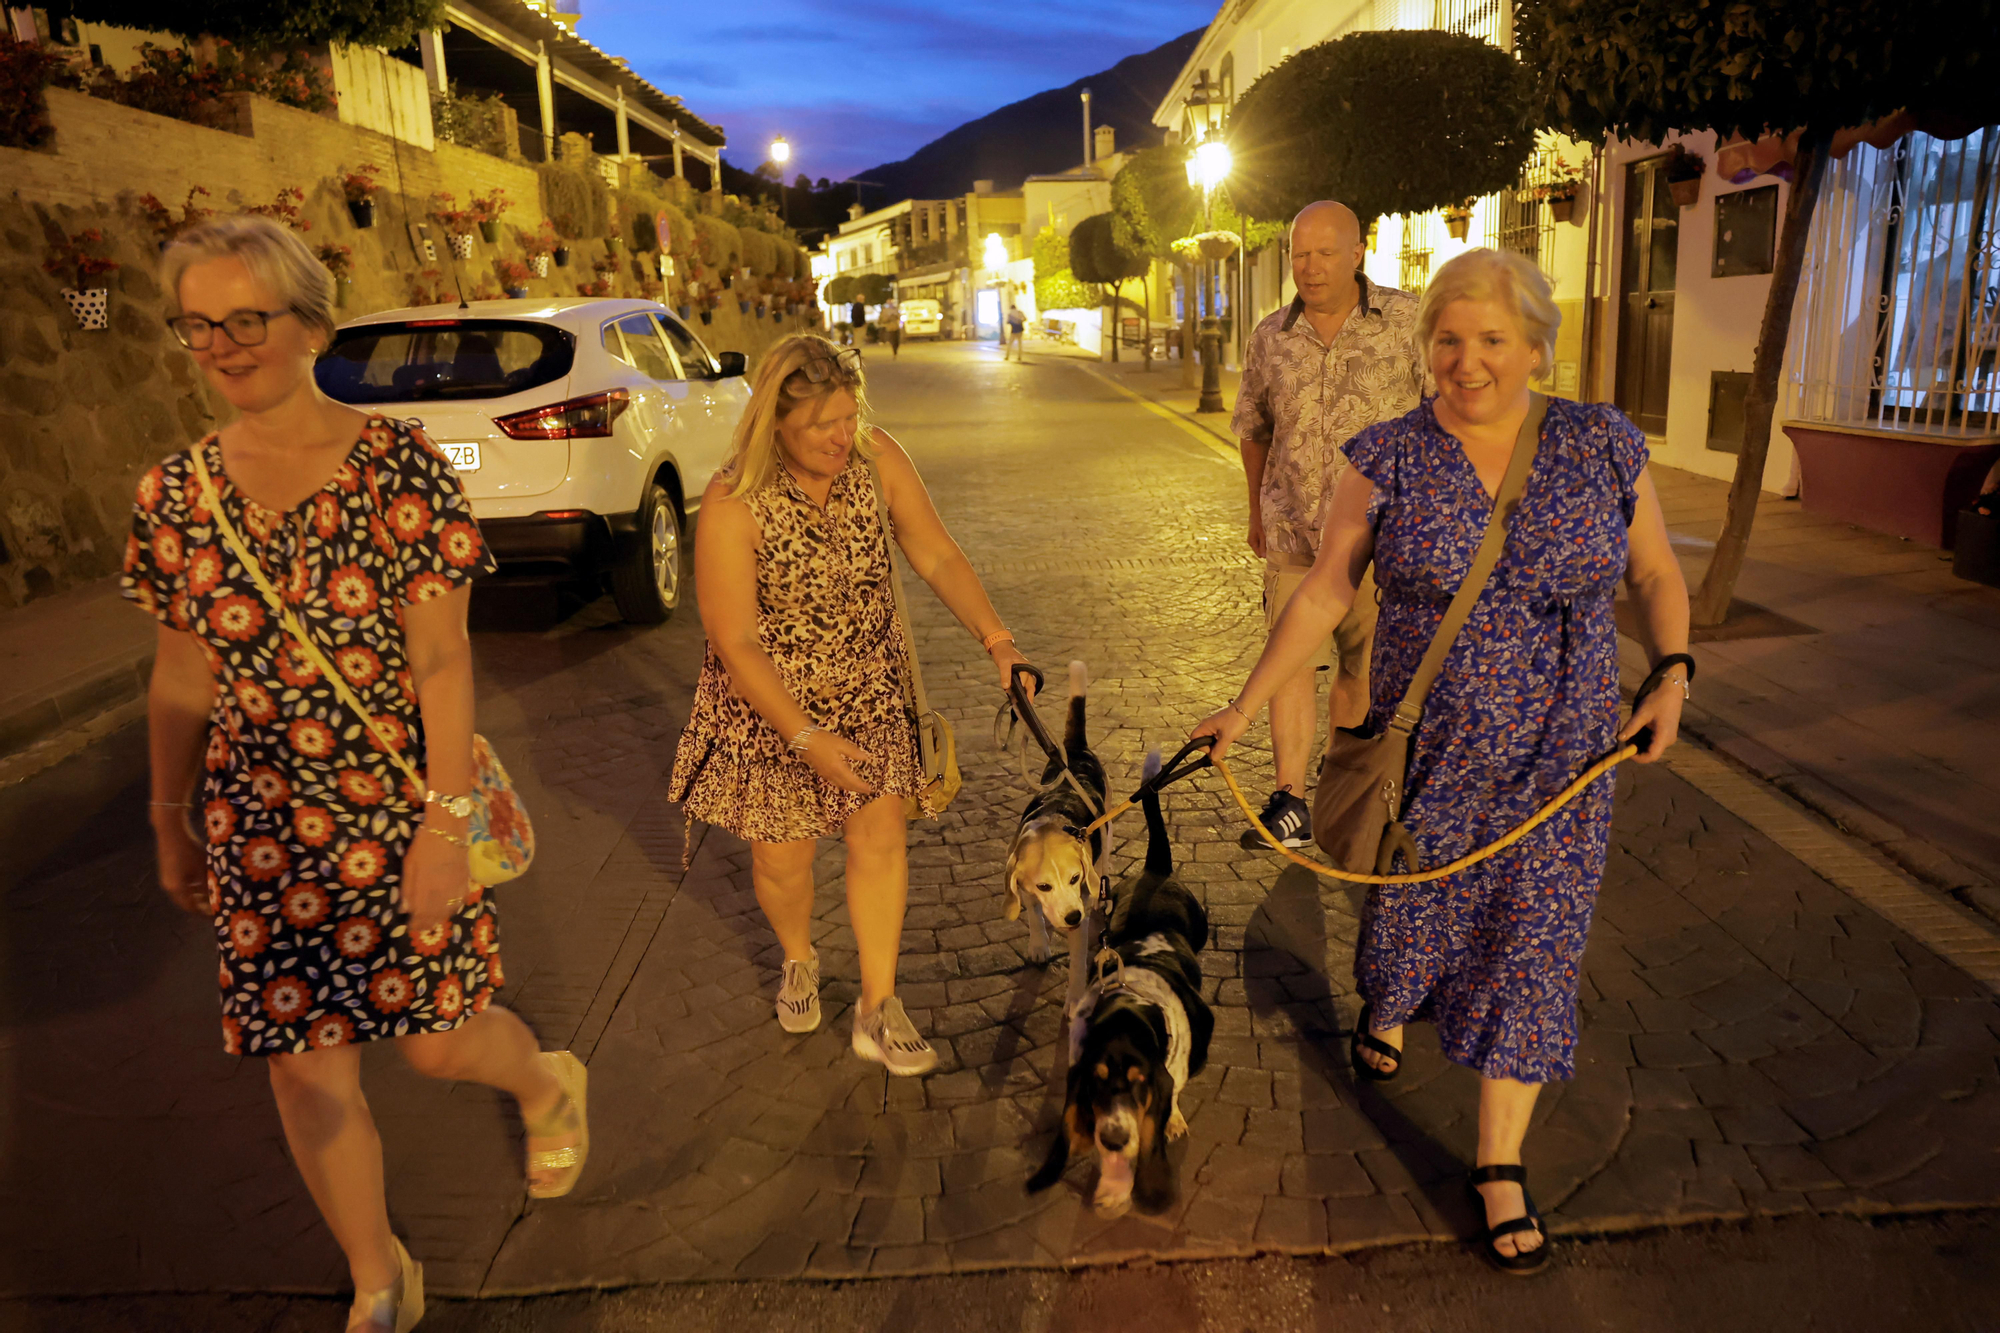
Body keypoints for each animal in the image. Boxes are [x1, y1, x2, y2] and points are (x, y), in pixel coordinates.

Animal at [1008, 660, 1104, 960]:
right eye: (1044, 886)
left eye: (1075, 878)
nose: (1073, 917)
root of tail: (1074, 749)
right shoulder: (1026, 890)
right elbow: (1035, 916)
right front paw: (1039, 945)